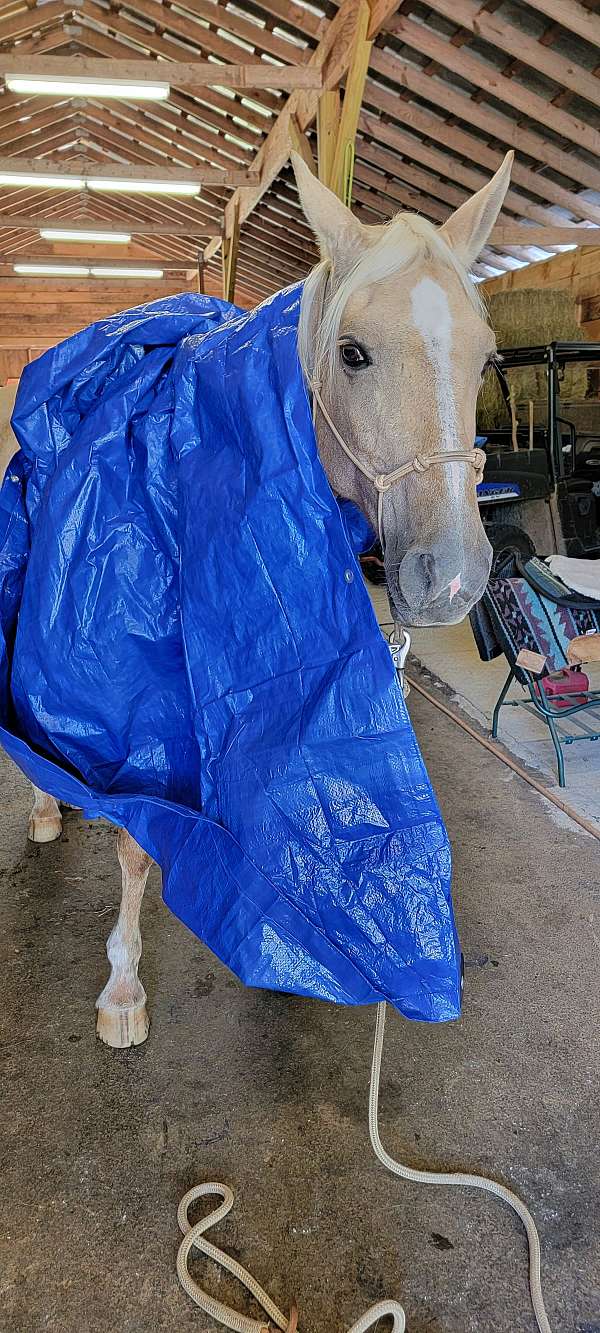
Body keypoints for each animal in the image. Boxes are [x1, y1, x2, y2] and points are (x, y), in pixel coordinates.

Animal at [25, 151, 512, 1045]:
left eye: (489, 359)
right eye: (352, 353)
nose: (454, 574)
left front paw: (295, 946)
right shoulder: (143, 703)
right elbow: (138, 844)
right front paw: (123, 988)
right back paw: (47, 804)